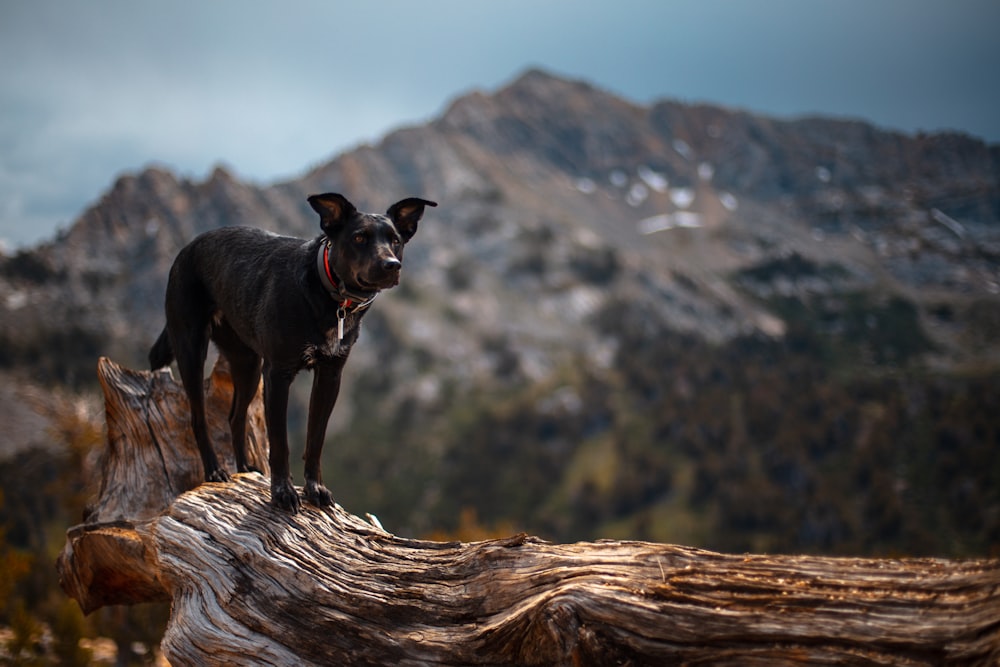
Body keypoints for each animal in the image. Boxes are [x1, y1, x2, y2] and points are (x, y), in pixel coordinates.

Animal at [147, 193, 434, 512]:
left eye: (395, 240)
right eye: (359, 237)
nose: (391, 265)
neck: (327, 294)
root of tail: (187, 249)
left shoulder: (330, 376)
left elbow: (315, 439)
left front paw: (315, 488)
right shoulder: (278, 374)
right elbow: (280, 443)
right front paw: (283, 492)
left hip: (247, 363)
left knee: (235, 416)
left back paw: (244, 468)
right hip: (192, 349)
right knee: (198, 417)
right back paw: (215, 470)